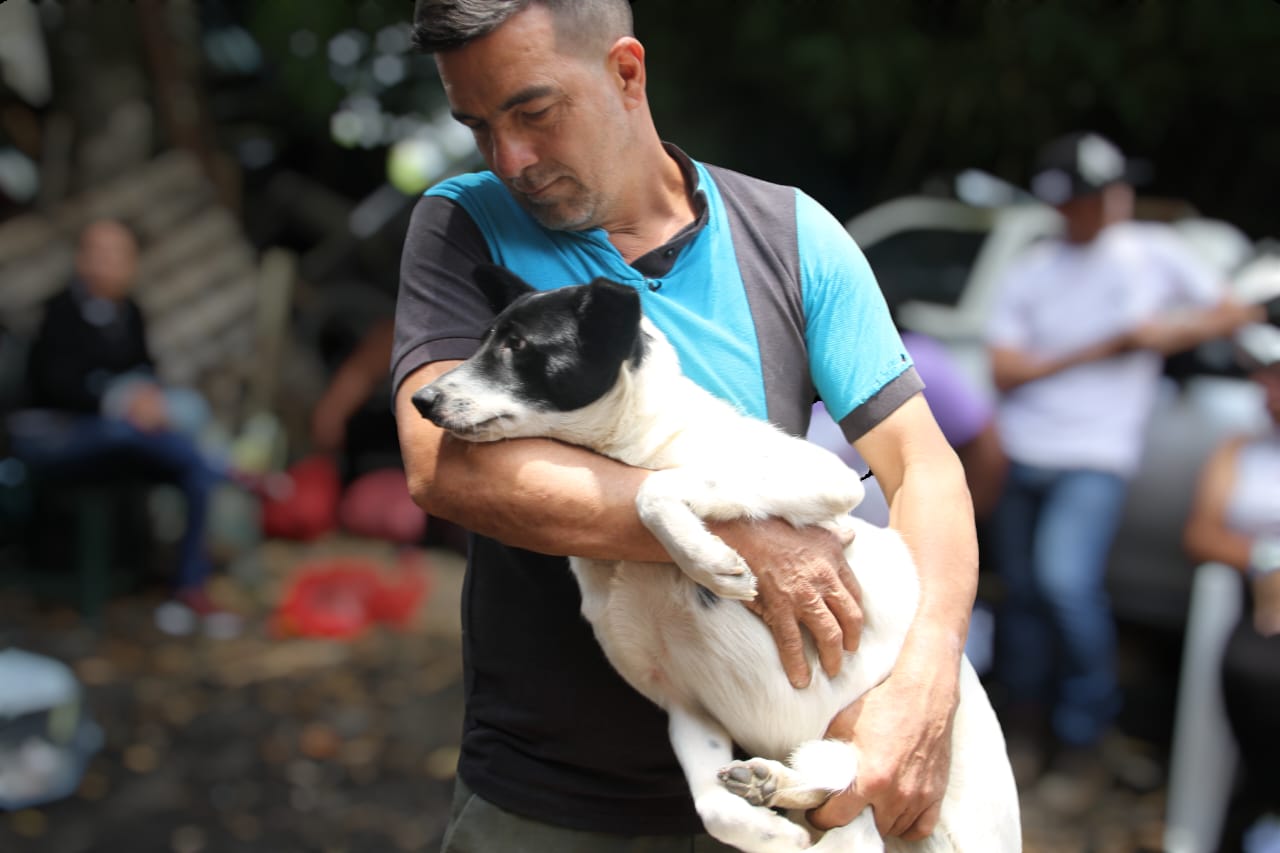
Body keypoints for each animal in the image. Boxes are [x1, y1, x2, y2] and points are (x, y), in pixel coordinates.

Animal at [412, 266, 1018, 850]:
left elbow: (654, 490)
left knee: (852, 801)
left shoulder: (828, 477)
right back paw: (776, 784)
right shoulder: (685, 707)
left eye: (516, 345)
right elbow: (715, 813)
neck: (641, 443)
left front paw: (709, 561)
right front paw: (775, 834)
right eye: (485, 339)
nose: (421, 402)